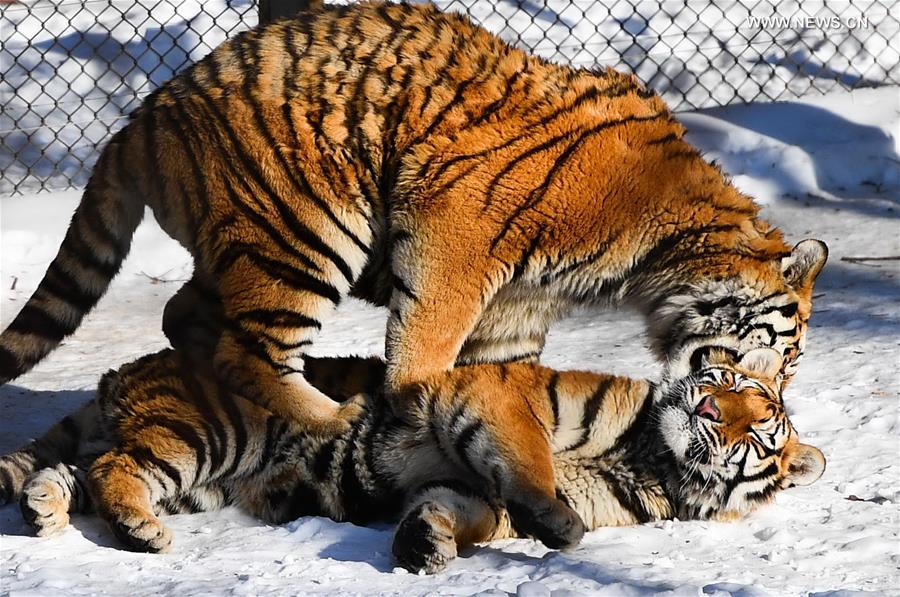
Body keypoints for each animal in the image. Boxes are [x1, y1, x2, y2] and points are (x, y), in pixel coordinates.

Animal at [1, 2, 828, 496]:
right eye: (784, 356)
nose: (772, 394)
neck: (661, 249)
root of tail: (141, 116)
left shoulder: (519, 305)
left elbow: (507, 381)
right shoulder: (455, 235)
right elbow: (425, 346)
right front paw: (412, 407)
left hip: (247, 242)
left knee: (187, 316)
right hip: (307, 227)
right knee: (250, 349)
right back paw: (333, 414)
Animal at [1, 346, 828, 576]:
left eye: (760, 427)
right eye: (728, 382)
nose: (709, 409)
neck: (655, 459)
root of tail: (130, 369)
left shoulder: (467, 484)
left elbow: (465, 510)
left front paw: (424, 542)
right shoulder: (506, 395)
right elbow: (530, 465)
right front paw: (560, 525)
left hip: (192, 471)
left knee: (77, 469)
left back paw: (43, 511)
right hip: (207, 434)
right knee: (113, 468)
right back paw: (140, 533)